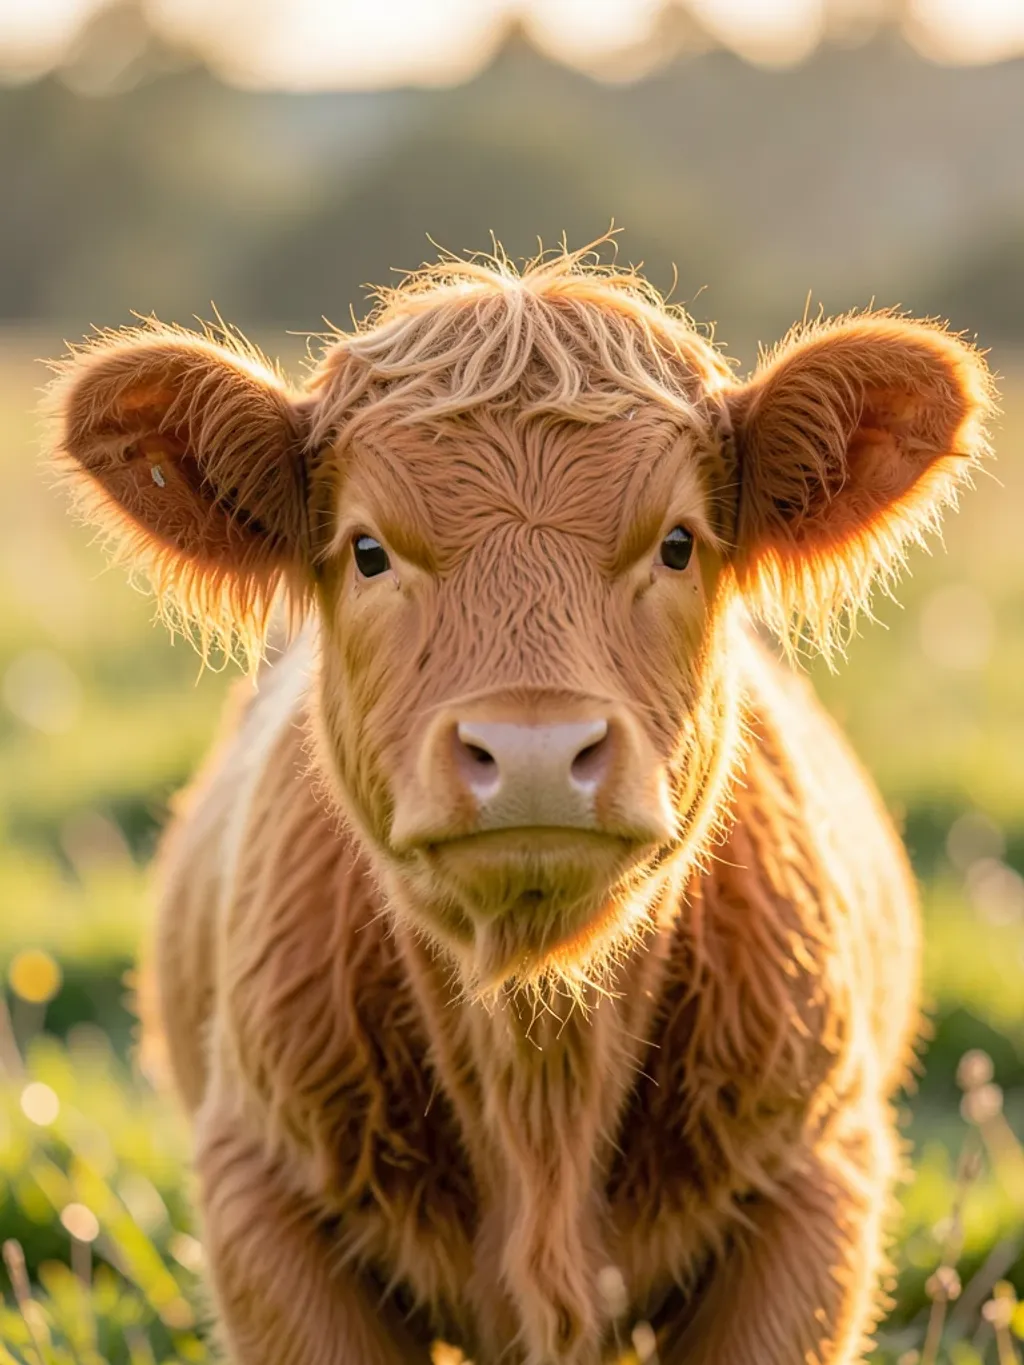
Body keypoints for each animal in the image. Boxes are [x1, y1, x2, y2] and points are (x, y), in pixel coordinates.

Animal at [50, 251, 994, 1365]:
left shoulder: (812, 1185)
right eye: (366, 551)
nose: (535, 752)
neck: (540, 1078)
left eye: (679, 543)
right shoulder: (264, 1201)